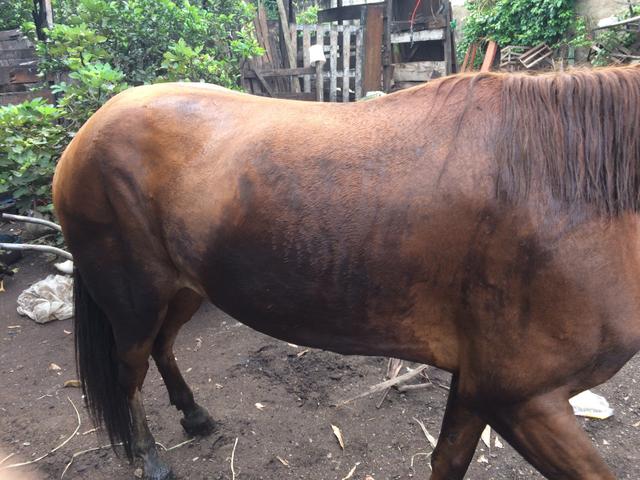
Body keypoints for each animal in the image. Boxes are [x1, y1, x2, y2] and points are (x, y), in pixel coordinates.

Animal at [53, 66, 640, 480]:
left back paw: (194, 417)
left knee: (163, 346)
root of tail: (88, 131)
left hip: (185, 288)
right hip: (135, 297)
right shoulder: (520, 397)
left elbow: (447, 460)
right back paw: (150, 457)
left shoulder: (477, 384)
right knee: (129, 370)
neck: (566, 193)